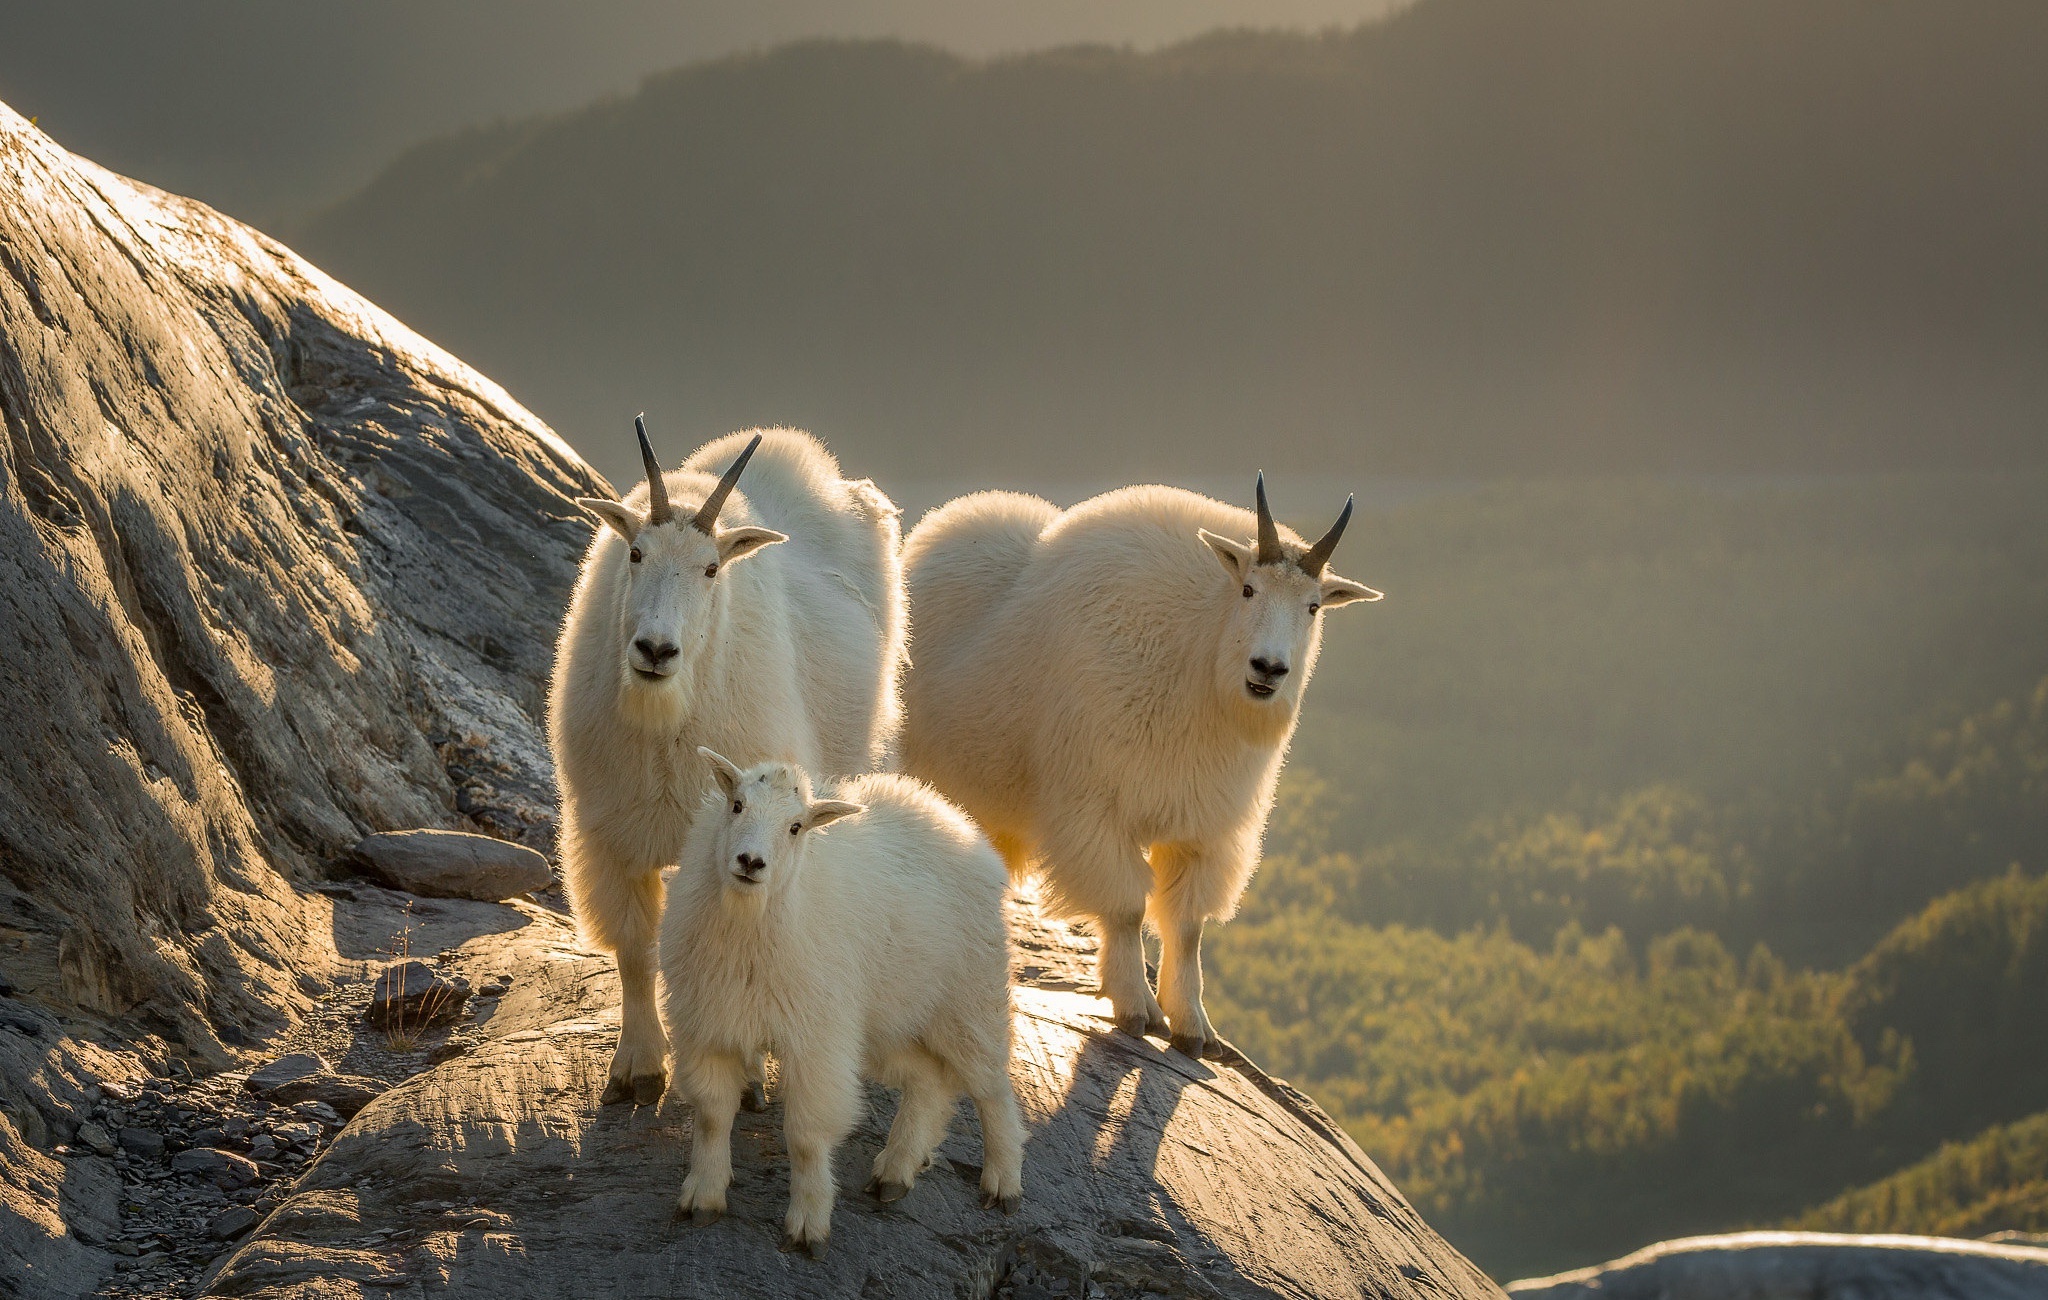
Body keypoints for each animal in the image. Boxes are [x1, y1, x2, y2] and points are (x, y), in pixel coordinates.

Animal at [548, 421, 901, 1105]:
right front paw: (637, 1067)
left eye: (711, 569)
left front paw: (744, 1073)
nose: (656, 650)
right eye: (636, 554)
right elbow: (636, 948)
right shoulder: (611, 834)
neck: (663, 724)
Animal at [663, 749, 1024, 1252]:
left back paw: (1003, 1181)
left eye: (796, 827)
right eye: (736, 805)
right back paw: (896, 1171)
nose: (750, 862)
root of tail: (956, 821)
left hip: (969, 998)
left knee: (991, 1086)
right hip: (887, 1018)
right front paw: (704, 1197)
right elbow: (714, 1115)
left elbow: (806, 1137)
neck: (751, 923)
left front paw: (808, 1225)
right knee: (929, 1079)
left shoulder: (816, 1040)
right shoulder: (710, 1025)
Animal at [905, 479, 1384, 1056]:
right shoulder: (1097, 806)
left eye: (1313, 606)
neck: (1199, 664)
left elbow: (1187, 924)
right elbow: (1127, 907)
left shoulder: (1203, 827)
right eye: (1248, 589)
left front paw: (1194, 1029)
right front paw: (1137, 1010)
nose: (1268, 669)